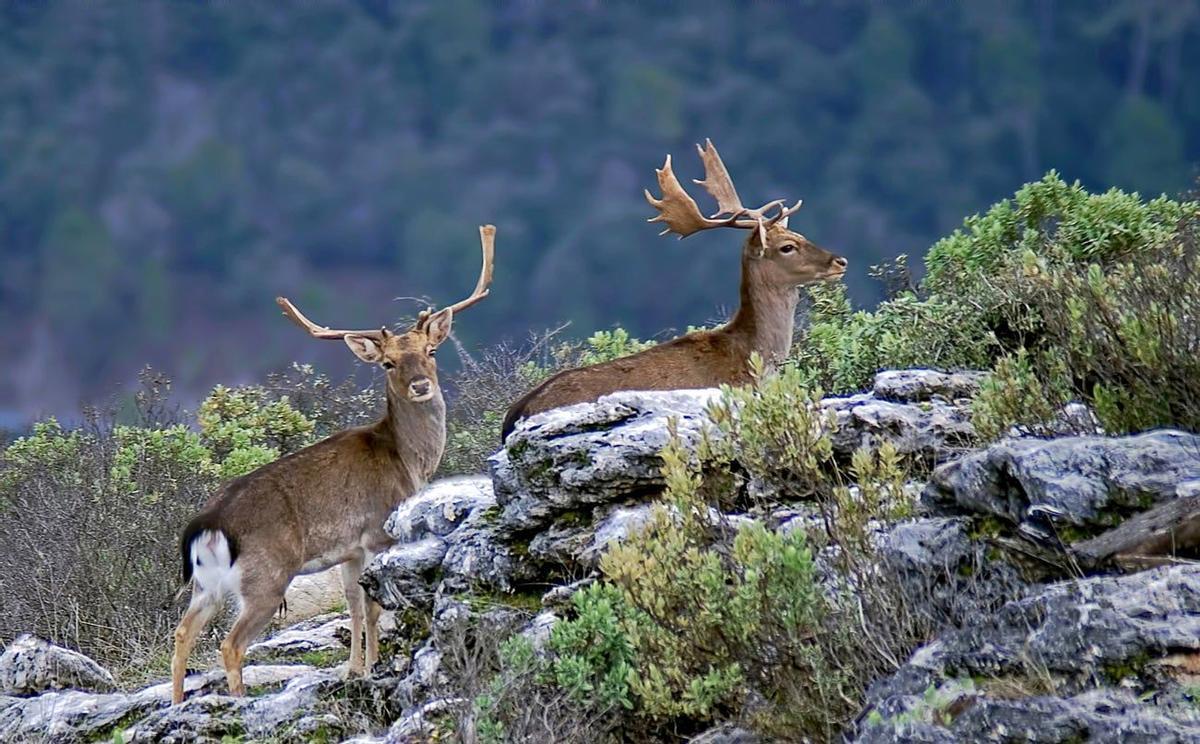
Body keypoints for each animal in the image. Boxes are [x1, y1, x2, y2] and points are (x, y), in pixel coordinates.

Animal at [171, 225, 494, 705]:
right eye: (388, 362)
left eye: (432, 351)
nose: (420, 385)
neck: (408, 461)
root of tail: (208, 524)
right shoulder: (378, 532)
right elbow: (374, 608)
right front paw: (374, 666)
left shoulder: (350, 549)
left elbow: (354, 606)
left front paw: (355, 668)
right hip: (266, 577)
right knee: (230, 644)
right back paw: (239, 701)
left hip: (206, 584)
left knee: (182, 633)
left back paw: (176, 705)